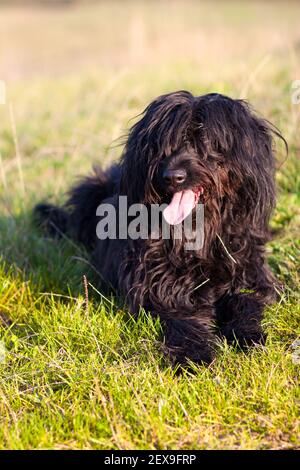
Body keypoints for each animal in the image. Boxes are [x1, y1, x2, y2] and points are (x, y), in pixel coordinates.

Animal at [33, 90, 286, 366]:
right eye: (162, 146)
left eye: (204, 141)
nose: (173, 176)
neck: (198, 232)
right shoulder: (160, 290)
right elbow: (184, 322)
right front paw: (194, 356)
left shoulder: (249, 272)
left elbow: (245, 300)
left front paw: (249, 336)